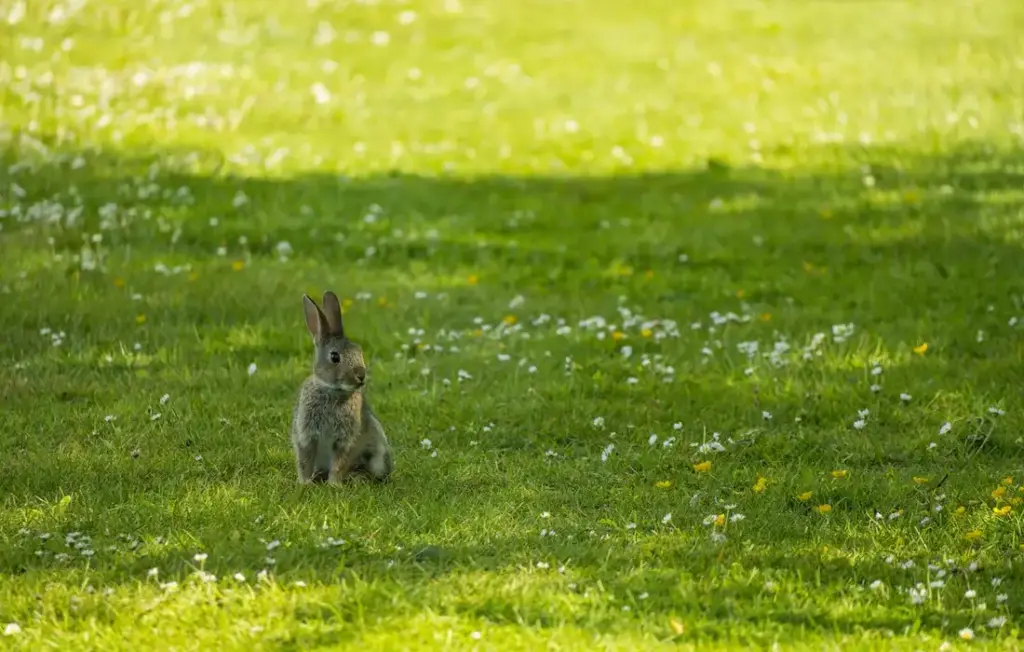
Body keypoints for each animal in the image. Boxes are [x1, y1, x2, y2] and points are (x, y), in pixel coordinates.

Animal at [290, 290, 394, 485]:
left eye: (359, 351)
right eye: (335, 357)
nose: (361, 375)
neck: (332, 390)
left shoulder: (344, 441)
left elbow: (339, 463)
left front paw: (334, 485)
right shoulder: (306, 435)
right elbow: (305, 461)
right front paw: (305, 483)